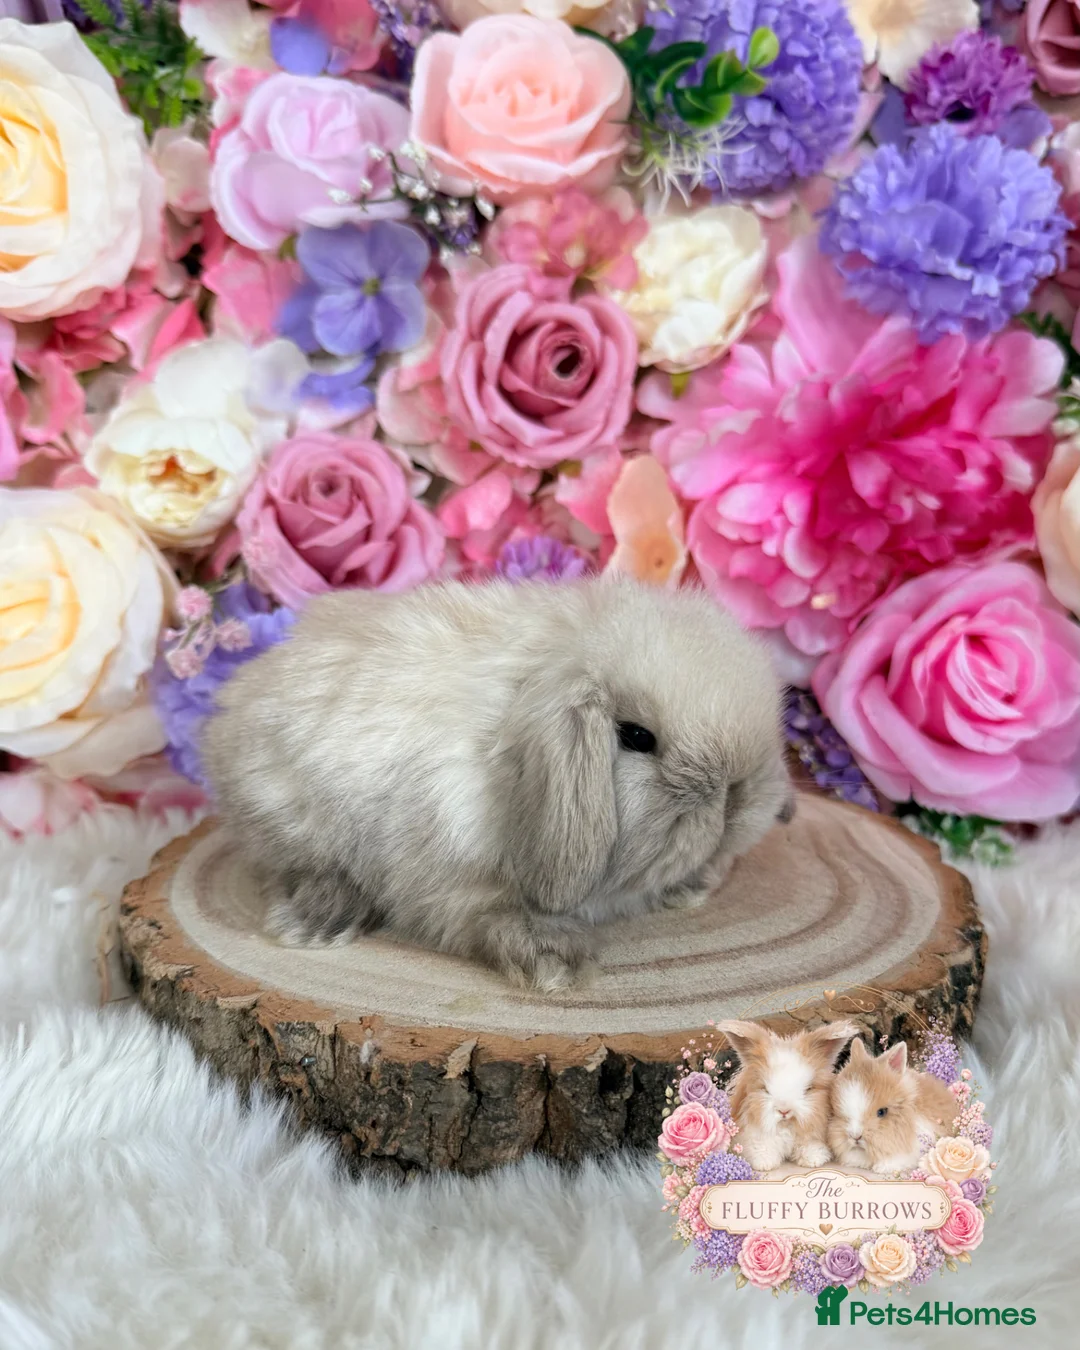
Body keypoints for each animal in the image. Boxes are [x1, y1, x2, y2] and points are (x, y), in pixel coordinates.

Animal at [201, 576, 793, 991]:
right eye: (635, 736)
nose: (740, 796)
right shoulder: (437, 877)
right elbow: (480, 917)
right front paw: (555, 959)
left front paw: (692, 886)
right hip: (283, 811)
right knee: (299, 868)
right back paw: (318, 922)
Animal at [716, 1019, 859, 1171]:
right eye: (765, 1089)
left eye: (807, 1089)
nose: (784, 1111)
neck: (785, 1126)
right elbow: (760, 1147)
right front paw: (765, 1164)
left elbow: (810, 1145)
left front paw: (813, 1160)